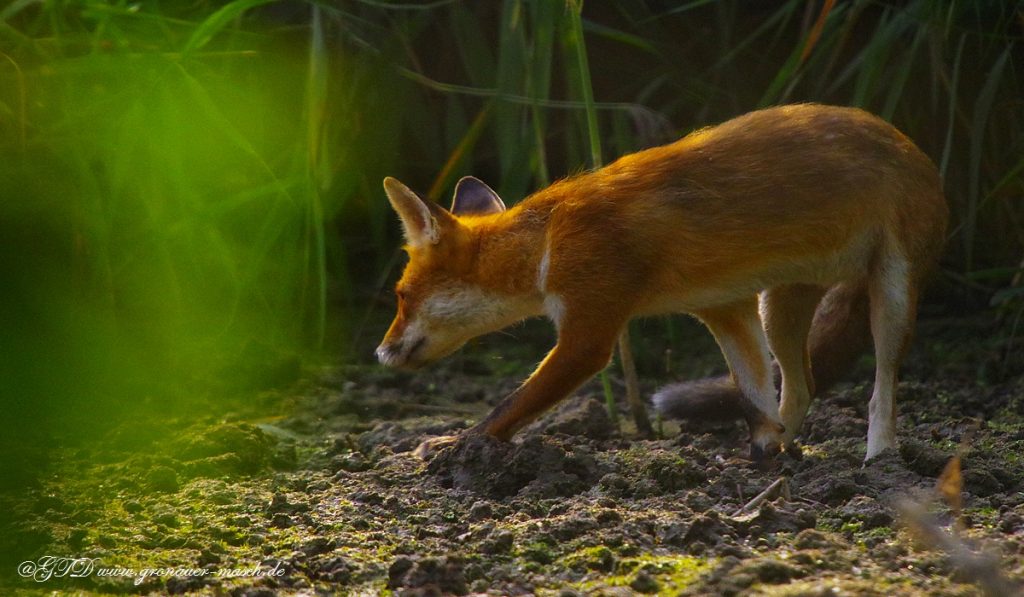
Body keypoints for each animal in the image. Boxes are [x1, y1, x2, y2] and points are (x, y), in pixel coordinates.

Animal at [375, 103, 947, 463]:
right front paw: (764, 454)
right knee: (801, 384)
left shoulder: (589, 332)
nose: (380, 353)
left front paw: (455, 446)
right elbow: (755, 397)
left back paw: (879, 460)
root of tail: (909, 143)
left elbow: (507, 408)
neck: (546, 242)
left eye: (401, 297)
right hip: (777, 310)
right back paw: (789, 449)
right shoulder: (727, 308)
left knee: (881, 389)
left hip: (891, 298)